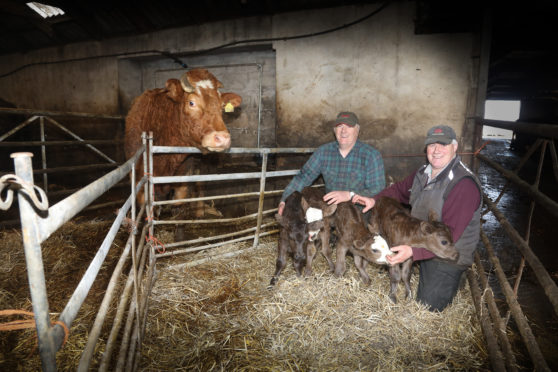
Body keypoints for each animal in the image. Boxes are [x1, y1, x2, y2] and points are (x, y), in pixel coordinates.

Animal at [126, 68, 243, 228]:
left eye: (221, 106)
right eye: (191, 102)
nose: (223, 138)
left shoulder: (183, 181)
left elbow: (179, 211)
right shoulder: (139, 183)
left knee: (200, 187)